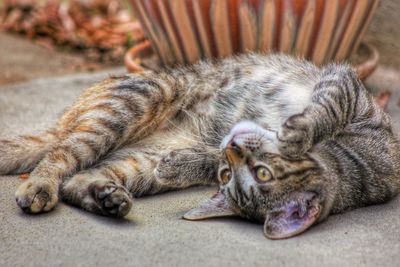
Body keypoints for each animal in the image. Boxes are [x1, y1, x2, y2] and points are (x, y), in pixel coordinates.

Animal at [1, 53, 398, 240]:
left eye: (258, 173)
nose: (234, 144)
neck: (355, 167)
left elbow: (209, 158)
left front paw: (184, 164)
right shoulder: (347, 88)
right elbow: (325, 109)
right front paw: (298, 132)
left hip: (138, 164)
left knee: (76, 180)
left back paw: (107, 198)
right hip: (139, 100)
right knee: (60, 155)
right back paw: (40, 186)